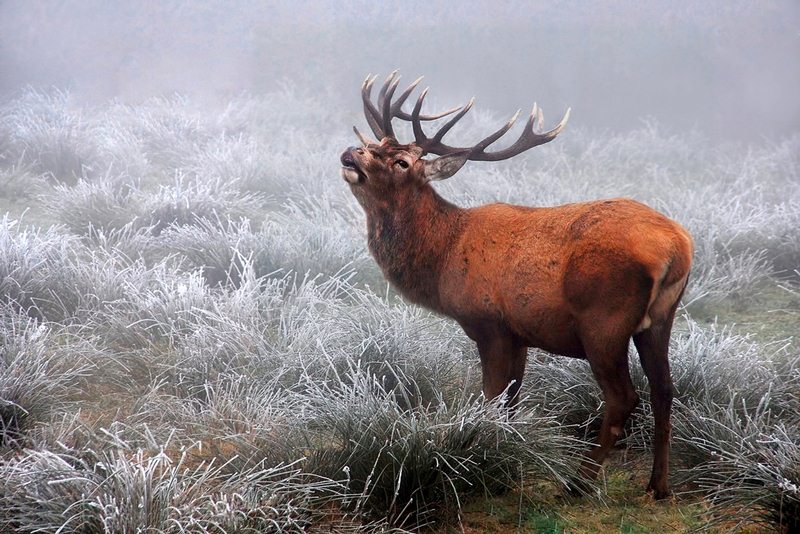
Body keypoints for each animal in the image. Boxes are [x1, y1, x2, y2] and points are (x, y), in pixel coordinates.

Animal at [338, 72, 692, 502]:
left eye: (402, 162)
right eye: (376, 145)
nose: (350, 153)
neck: (444, 256)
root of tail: (678, 247)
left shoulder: (488, 323)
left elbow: (490, 397)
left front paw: (478, 456)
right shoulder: (520, 333)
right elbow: (512, 398)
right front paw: (504, 454)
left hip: (604, 321)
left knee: (623, 398)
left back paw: (577, 483)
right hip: (660, 320)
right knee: (664, 389)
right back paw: (659, 485)